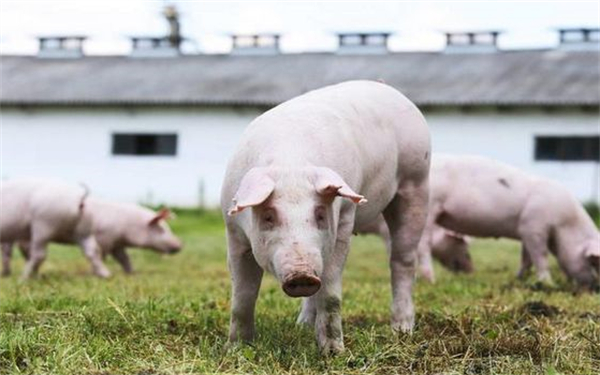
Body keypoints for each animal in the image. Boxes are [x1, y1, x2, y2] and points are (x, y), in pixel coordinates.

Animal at [220, 81, 432, 356]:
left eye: (320, 214)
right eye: (268, 216)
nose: (302, 276)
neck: (291, 162)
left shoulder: (343, 219)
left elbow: (330, 293)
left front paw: (333, 353)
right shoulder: (234, 231)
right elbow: (242, 296)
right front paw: (236, 349)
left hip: (416, 181)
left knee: (402, 260)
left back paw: (402, 329)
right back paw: (302, 326)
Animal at [420, 154, 600, 290]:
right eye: (591, 261)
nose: (593, 287)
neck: (564, 224)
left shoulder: (525, 231)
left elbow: (526, 259)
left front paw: (519, 279)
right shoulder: (534, 226)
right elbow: (540, 256)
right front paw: (548, 284)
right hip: (431, 206)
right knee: (423, 246)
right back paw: (431, 280)